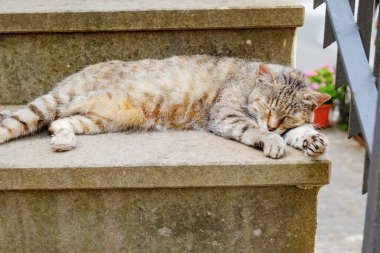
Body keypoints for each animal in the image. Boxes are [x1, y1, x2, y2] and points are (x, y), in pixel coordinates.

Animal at [0, 55, 330, 158]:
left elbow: (300, 130)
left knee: (58, 123)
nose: (272, 123)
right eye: (267, 108)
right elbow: (255, 129)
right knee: (18, 122)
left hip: (97, 120)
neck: (249, 81)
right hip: (54, 102)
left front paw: (311, 139)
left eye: (287, 116)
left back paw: (63, 140)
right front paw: (272, 139)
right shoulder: (227, 114)